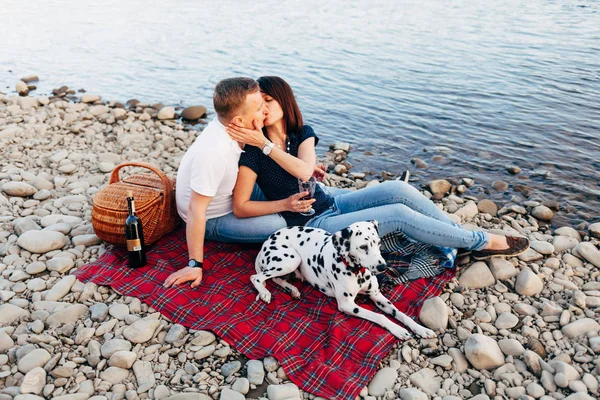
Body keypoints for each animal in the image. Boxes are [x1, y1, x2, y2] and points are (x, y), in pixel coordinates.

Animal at [250, 220, 436, 340]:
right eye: (363, 247)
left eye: (378, 243)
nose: (383, 266)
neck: (358, 271)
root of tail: (267, 241)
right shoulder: (347, 305)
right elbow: (380, 317)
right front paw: (398, 330)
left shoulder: (377, 296)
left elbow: (401, 314)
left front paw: (420, 328)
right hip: (290, 259)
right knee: (257, 277)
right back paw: (265, 293)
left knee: (274, 278)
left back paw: (292, 289)